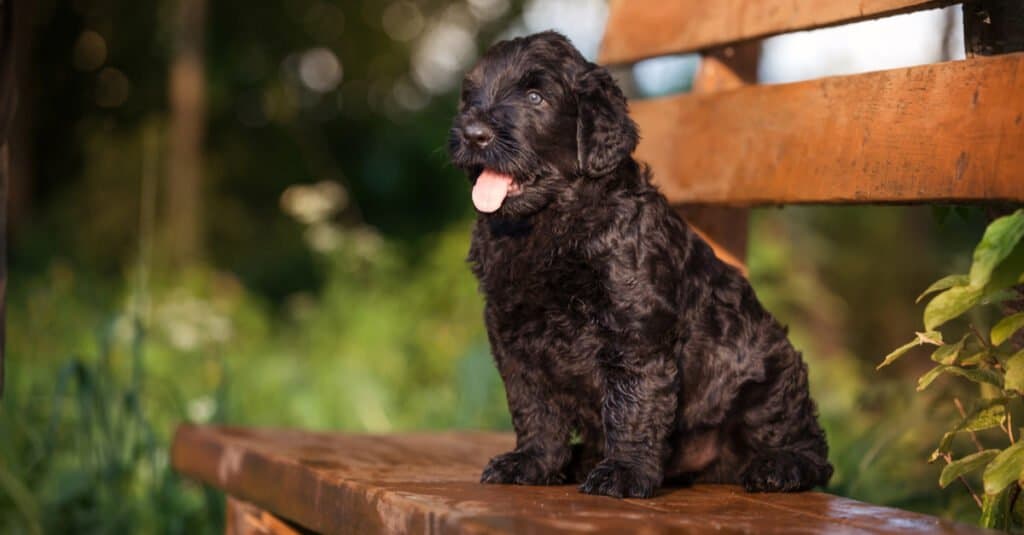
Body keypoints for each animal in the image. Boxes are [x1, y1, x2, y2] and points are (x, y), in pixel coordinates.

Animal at [448, 31, 831, 498]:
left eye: (536, 97)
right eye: (471, 96)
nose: (472, 134)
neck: (550, 222)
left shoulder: (634, 325)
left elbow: (633, 403)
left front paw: (624, 472)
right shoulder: (512, 330)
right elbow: (533, 404)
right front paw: (533, 462)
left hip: (770, 381)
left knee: (811, 447)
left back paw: (780, 465)